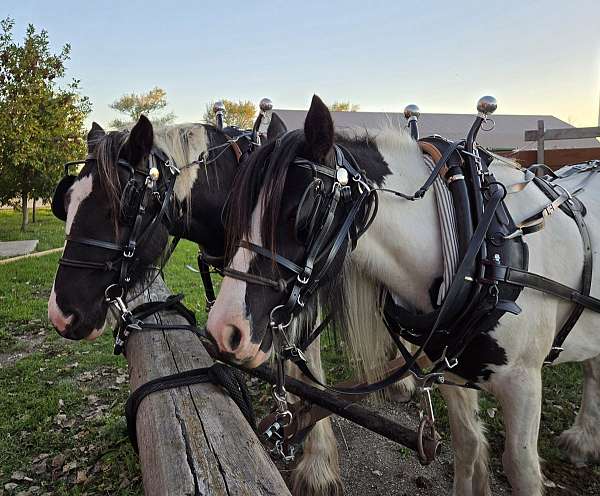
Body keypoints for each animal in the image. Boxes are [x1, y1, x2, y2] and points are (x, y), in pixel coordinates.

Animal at [205, 95, 600, 494]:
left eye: (300, 214)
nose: (224, 330)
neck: (478, 240)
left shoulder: (523, 382)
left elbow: (521, 468)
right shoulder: (449, 369)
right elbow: (468, 444)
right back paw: (584, 439)